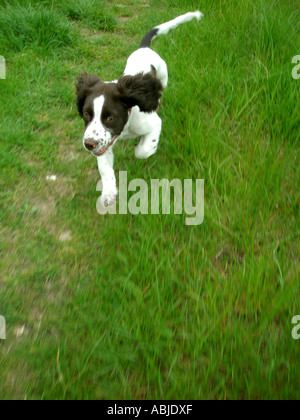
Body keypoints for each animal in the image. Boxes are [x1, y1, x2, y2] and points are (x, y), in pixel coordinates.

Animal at [76, 9, 203, 207]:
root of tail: (145, 48)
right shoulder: (103, 141)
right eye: (86, 114)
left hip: (163, 76)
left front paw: (140, 147)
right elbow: (105, 168)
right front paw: (108, 193)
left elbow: (144, 150)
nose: (89, 144)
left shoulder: (154, 123)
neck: (126, 128)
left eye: (110, 117)